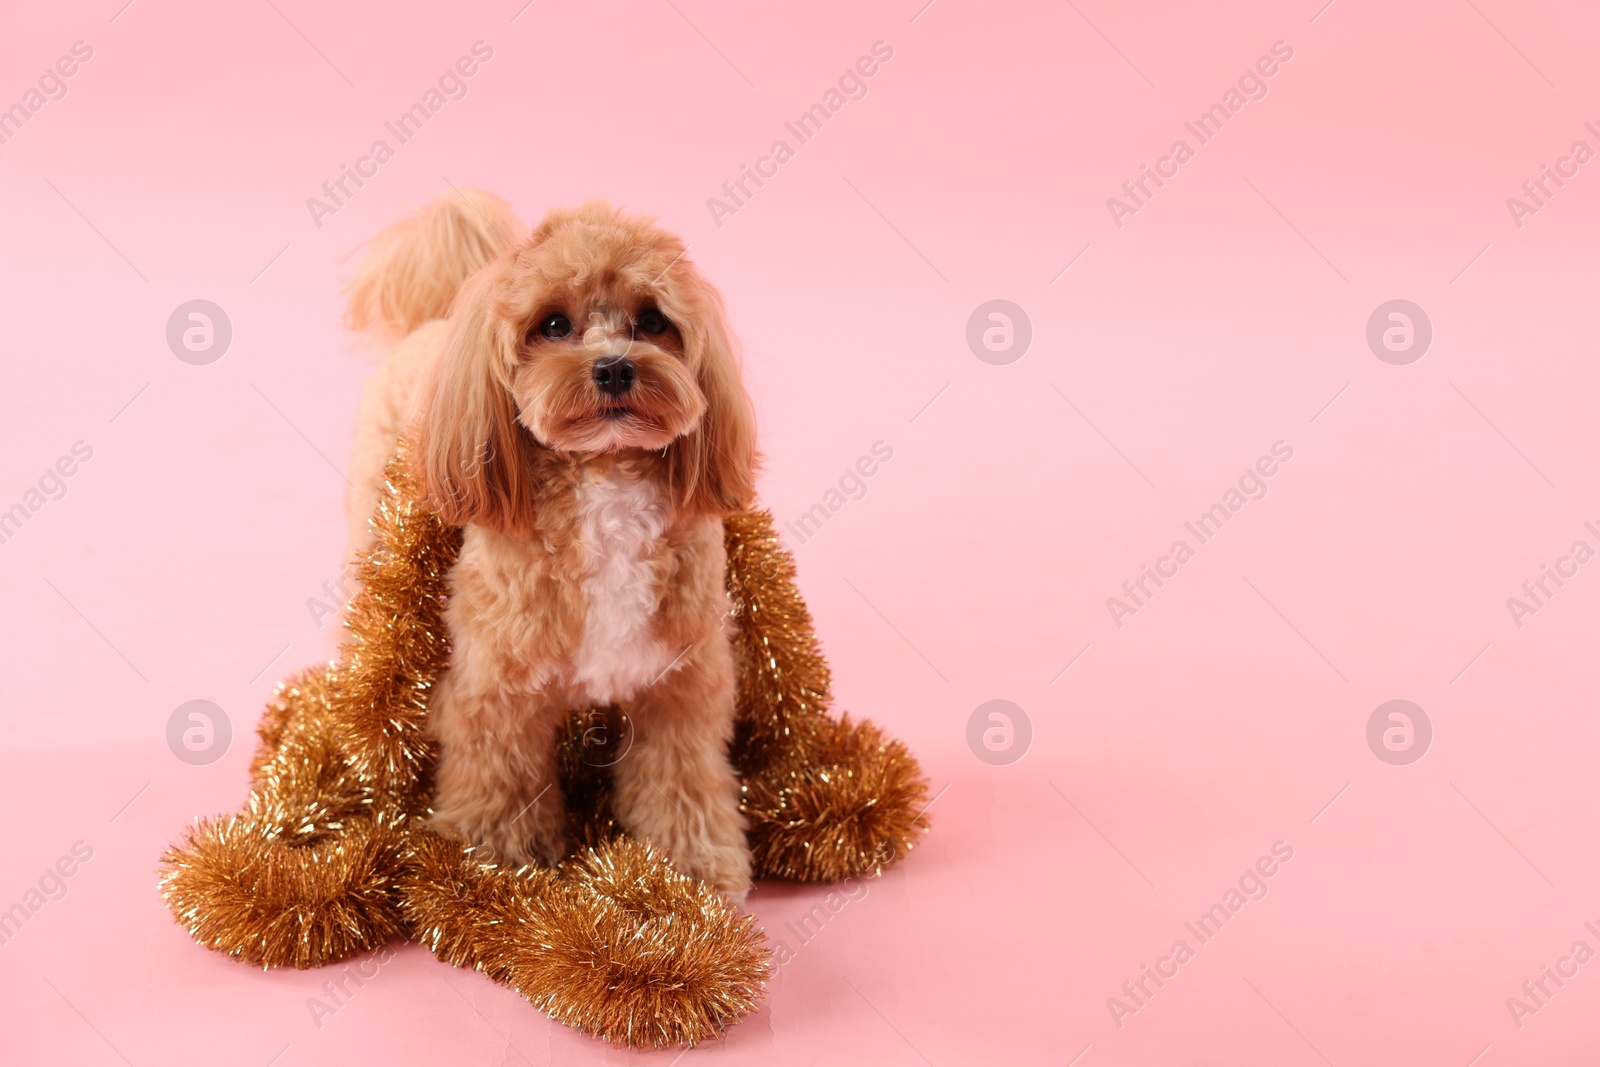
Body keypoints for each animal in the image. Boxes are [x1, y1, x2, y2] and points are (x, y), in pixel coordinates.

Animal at [344, 191, 755, 902]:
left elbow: (681, 778)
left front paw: (690, 872)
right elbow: (500, 777)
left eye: (653, 320)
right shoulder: (497, 681)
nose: (614, 366)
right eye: (554, 324)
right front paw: (489, 868)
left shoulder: (680, 682)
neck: (606, 478)